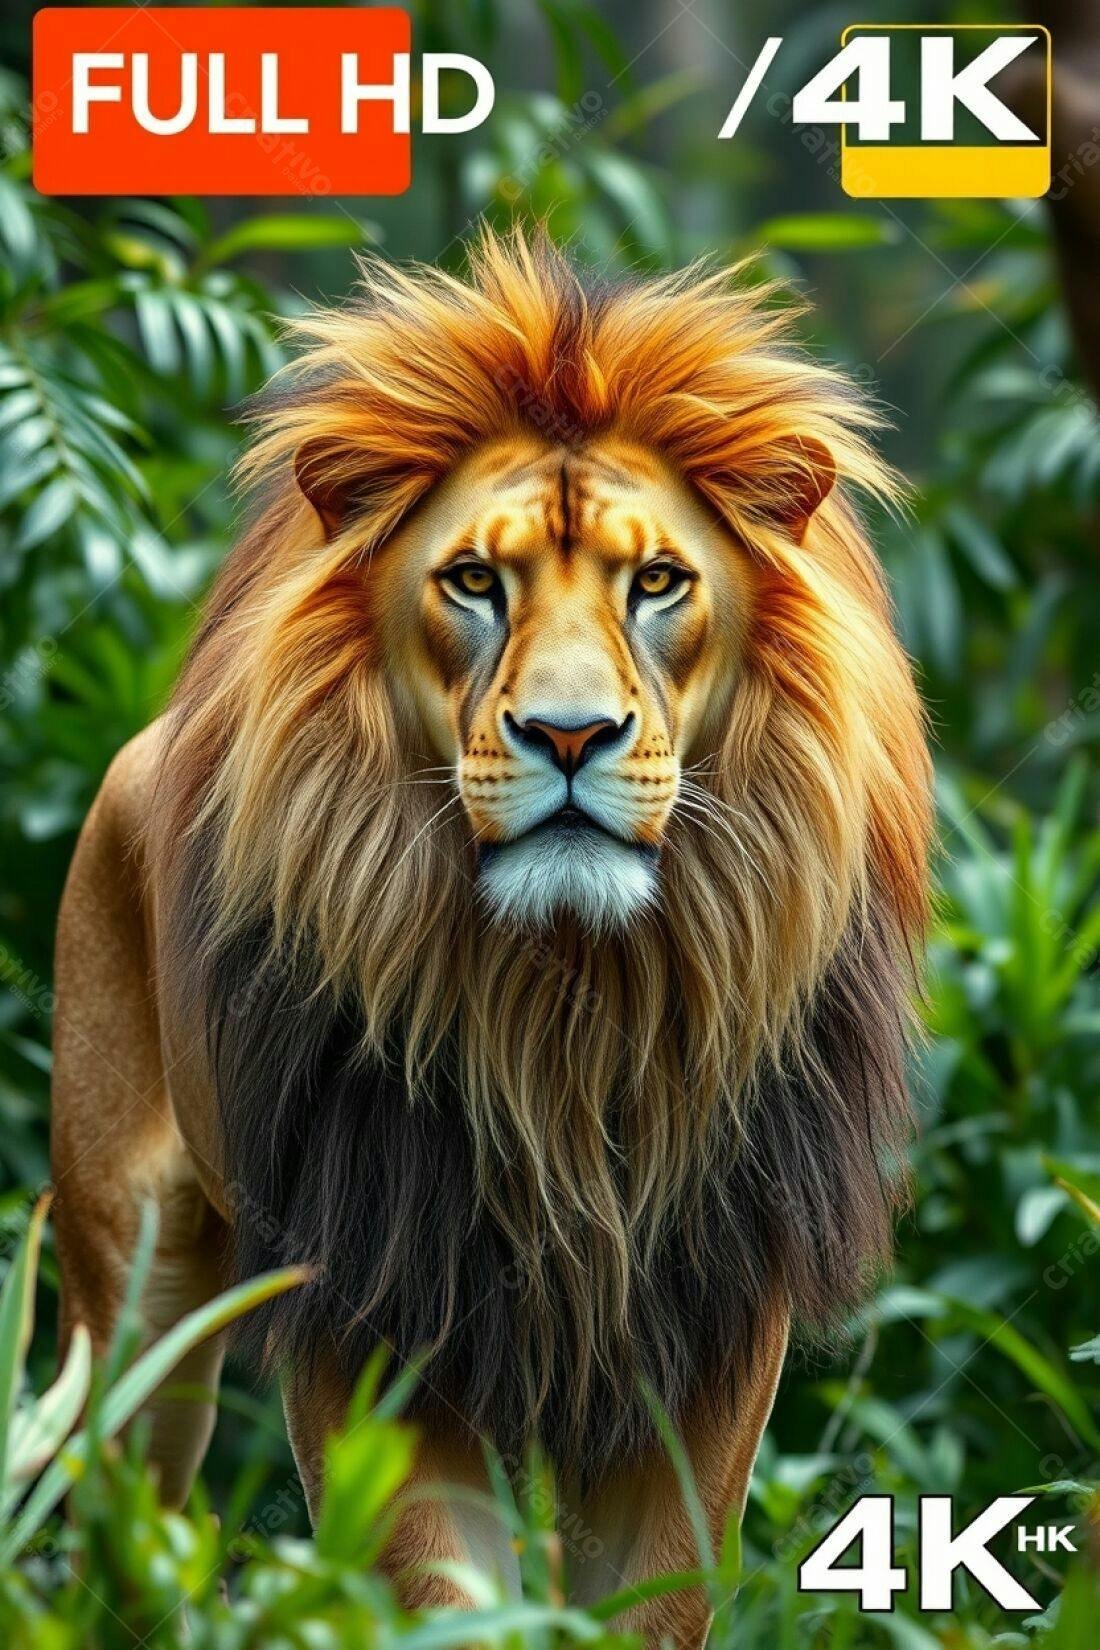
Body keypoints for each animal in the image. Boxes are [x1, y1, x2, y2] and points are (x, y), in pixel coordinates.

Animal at [50, 227, 930, 1645]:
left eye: (656, 582)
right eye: (473, 581)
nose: (568, 737)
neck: (562, 1005)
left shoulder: (705, 1323)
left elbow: (656, 1596)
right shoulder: (372, 1293)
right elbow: (437, 1587)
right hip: (135, 1288)